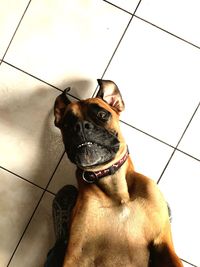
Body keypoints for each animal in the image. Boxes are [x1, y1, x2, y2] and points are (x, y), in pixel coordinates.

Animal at [53, 78, 183, 266]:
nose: (80, 126)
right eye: (66, 124)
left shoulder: (162, 242)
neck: (115, 189)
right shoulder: (76, 255)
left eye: (102, 114)